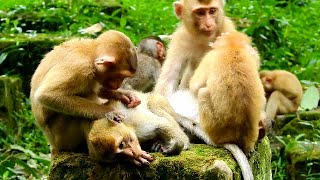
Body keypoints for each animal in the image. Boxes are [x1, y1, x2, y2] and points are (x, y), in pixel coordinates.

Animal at [29, 30, 152, 165]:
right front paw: (108, 112)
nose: (118, 85)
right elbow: (47, 95)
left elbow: (99, 90)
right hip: (63, 137)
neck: (90, 54)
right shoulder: (80, 68)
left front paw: (125, 95)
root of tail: (53, 144)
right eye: (120, 76)